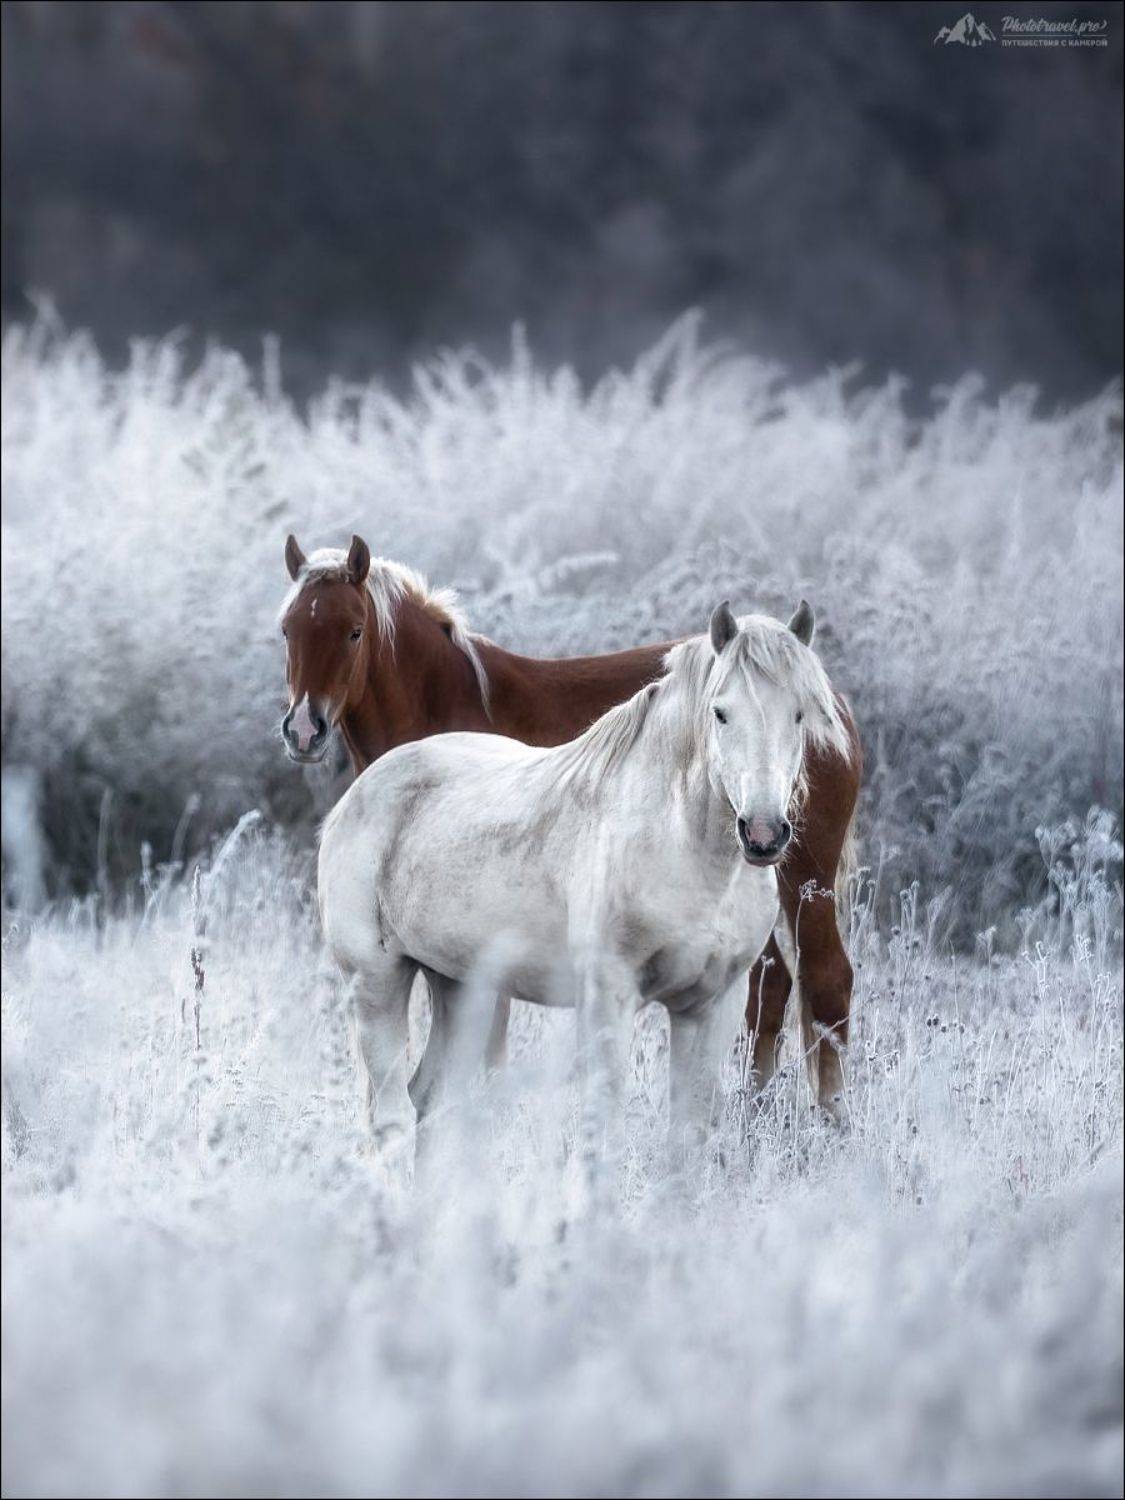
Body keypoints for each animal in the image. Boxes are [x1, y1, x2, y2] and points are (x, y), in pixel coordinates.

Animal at [279, 534, 862, 1115]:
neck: (446, 699)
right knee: (773, 987)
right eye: (288, 630)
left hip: (804, 880)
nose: (304, 730)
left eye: (354, 631)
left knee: (826, 980)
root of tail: (839, 706)